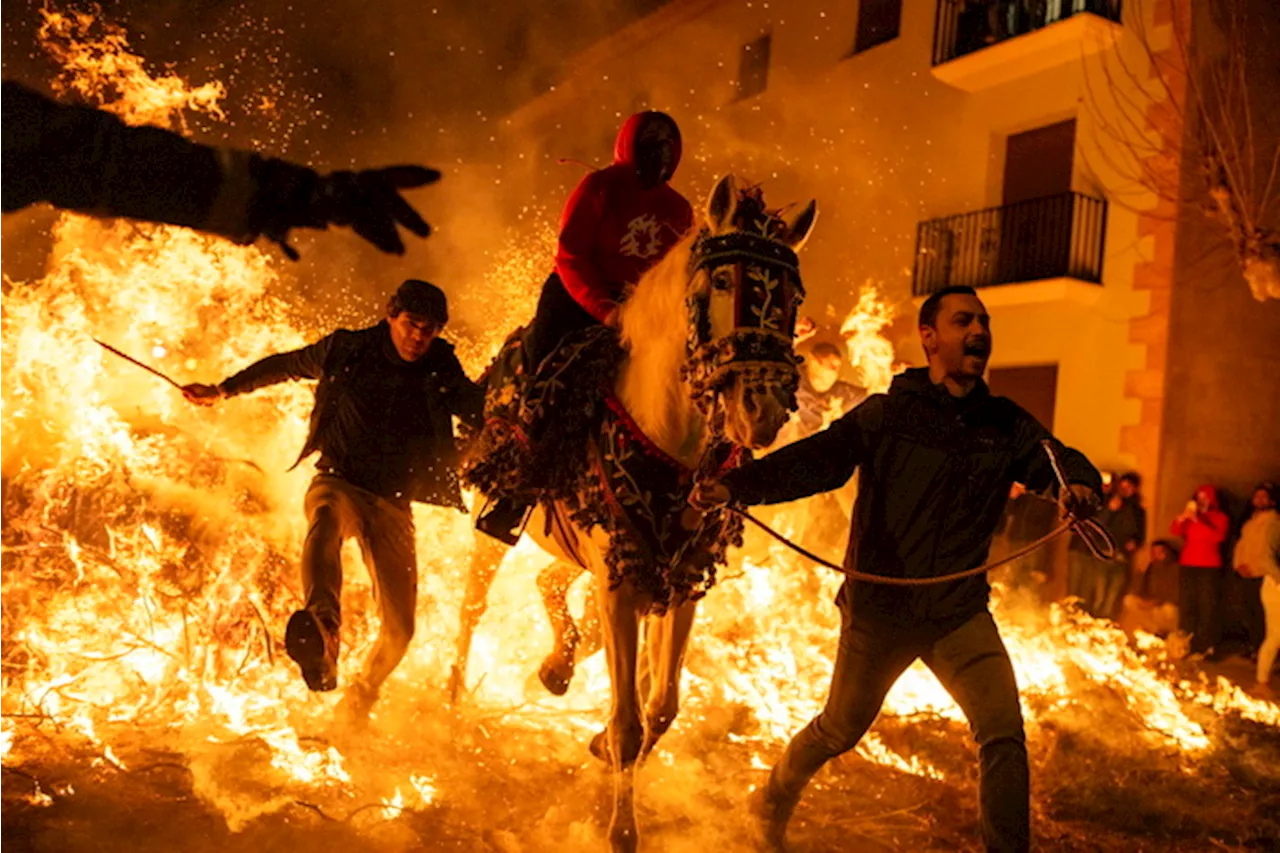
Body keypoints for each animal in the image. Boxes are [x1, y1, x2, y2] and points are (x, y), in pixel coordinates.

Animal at [460, 174, 819, 850]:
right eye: (722, 281)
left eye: (791, 294)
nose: (760, 410)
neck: (666, 441)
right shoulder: (621, 585)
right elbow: (630, 722)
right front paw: (622, 828)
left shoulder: (679, 584)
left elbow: (661, 708)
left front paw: (600, 742)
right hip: (498, 526)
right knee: (472, 608)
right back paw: (450, 696)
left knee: (553, 583)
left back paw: (556, 666)